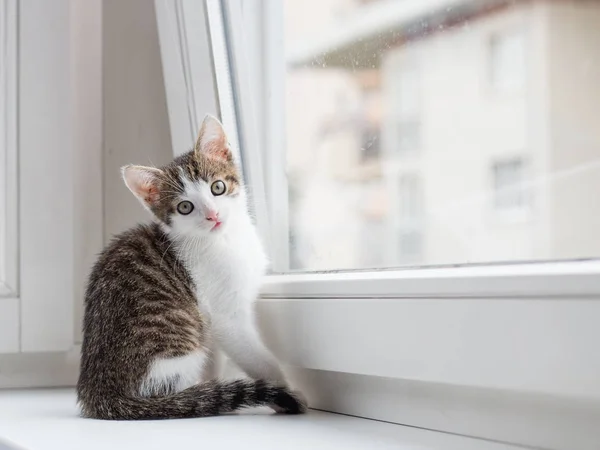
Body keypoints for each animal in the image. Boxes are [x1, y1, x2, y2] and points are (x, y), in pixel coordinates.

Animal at [77, 114, 308, 420]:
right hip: (176, 354)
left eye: (217, 187)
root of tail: (99, 394)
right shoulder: (226, 317)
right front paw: (285, 391)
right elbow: (257, 358)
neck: (225, 238)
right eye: (185, 207)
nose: (212, 215)